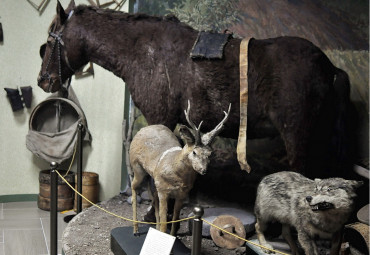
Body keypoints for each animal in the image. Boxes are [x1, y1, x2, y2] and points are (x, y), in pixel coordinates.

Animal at [37, 0, 352, 178]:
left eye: (50, 40)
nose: (44, 80)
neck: (141, 52)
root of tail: (329, 67)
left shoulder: (160, 118)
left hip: (297, 136)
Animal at [129, 100, 228, 236]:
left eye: (210, 153)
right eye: (194, 152)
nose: (204, 170)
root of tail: (143, 129)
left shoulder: (182, 194)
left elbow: (175, 219)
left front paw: (172, 237)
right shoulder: (163, 191)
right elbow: (165, 222)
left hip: (152, 178)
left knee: (153, 196)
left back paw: (153, 228)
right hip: (137, 167)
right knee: (134, 186)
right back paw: (135, 230)